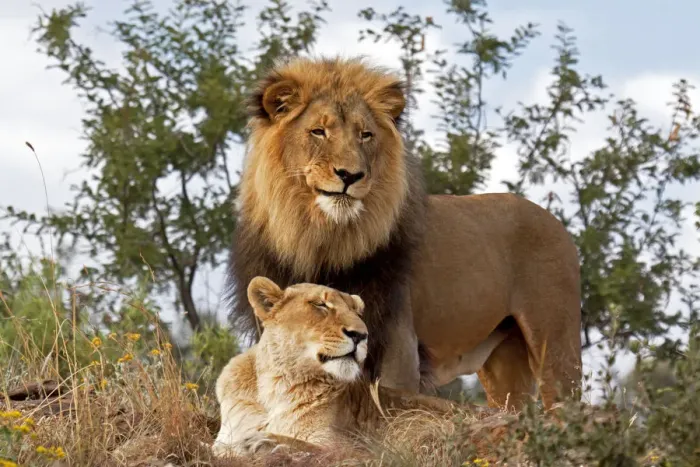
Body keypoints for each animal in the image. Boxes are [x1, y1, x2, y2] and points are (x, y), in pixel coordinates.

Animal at [212, 277, 508, 458]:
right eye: (320, 304)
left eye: (357, 312)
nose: (361, 335)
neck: (275, 385)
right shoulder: (223, 438)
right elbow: (220, 448)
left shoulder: (349, 445)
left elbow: (308, 445)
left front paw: (264, 442)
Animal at [227, 56, 582, 409]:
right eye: (318, 131)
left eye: (365, 135)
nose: (350, 175)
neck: (319, 238)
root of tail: (554, 220)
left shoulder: (399, 348)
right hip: (502, 361)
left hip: (556, 342)